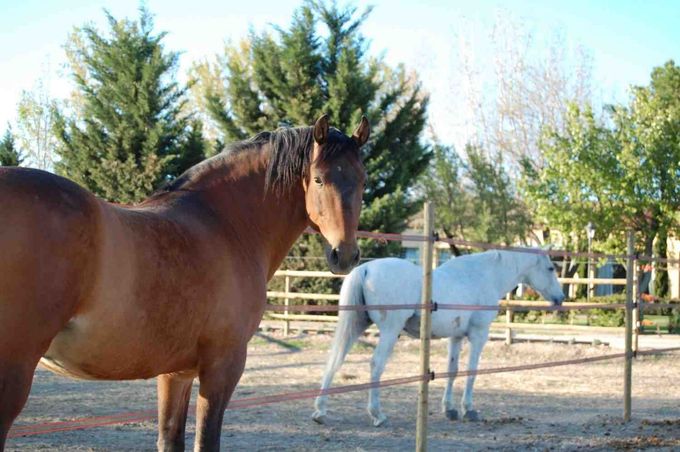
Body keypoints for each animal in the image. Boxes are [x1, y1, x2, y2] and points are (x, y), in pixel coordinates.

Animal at [0, 114, 369, 451]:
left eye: (363, 180)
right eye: (318, 179)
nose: (345, 254)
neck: (224, 222)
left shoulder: (176, 373)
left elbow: (170, 439)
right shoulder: (222, 367)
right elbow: (206, 441)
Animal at [312, 249, 565, 427]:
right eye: (550, 268)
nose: (560, 298)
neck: (482, 276)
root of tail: (365, 269)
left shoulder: (456, 337)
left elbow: (452, 371)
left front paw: (450, 410)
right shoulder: (478, 335)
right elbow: (471, 371)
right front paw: (469, 410)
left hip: (355, 326)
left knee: (335, 360)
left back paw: (320, 412)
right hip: (390, 331)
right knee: (376, 365)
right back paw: (378, 414)